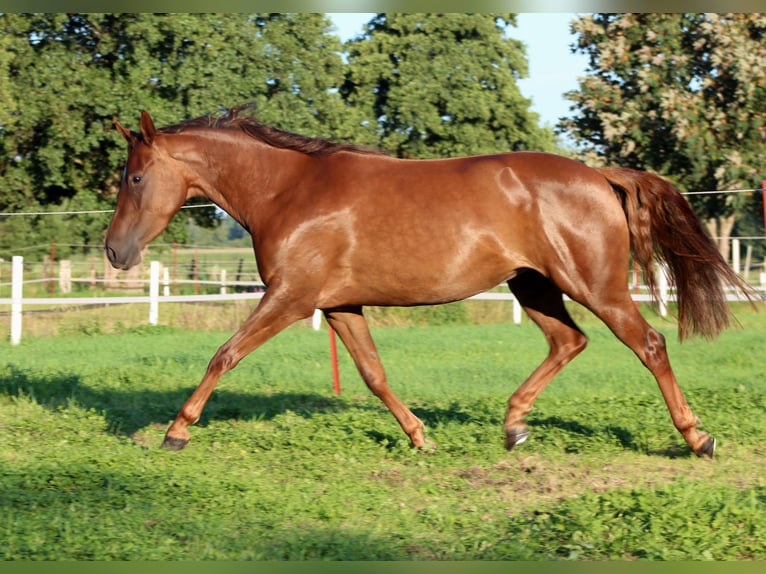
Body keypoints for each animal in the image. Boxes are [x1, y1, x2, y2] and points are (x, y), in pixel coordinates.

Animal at [105, 104, 754, 458]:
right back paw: (514, 426)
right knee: (568, 342)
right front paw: (421, 438)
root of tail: (599, 175)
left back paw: (697, 439)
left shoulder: (289, 298)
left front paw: (175, 432)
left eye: (134, 177)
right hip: (533, 286)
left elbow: (224, 354)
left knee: (649, 345)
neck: (288, 191)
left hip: (596, 287)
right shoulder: (339, 306)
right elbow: (374, 374)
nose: (115, 251)